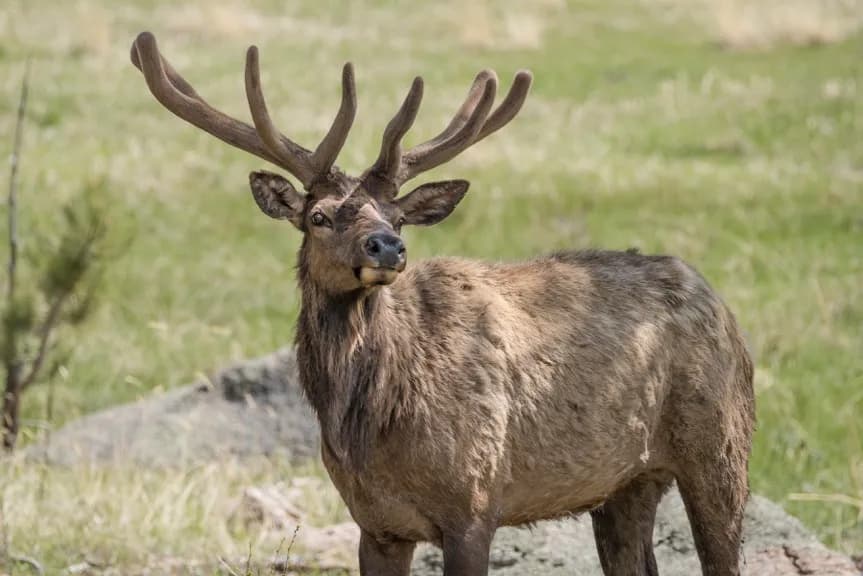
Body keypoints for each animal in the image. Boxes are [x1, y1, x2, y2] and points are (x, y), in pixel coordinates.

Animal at [130, 32, 755, 576]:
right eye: (319, 216)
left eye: (398, 216)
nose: (387, 246)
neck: (370, 426)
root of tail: (722, 306)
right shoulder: (375, 523)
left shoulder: (475, 502)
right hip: (626, 481)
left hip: (723, 444)